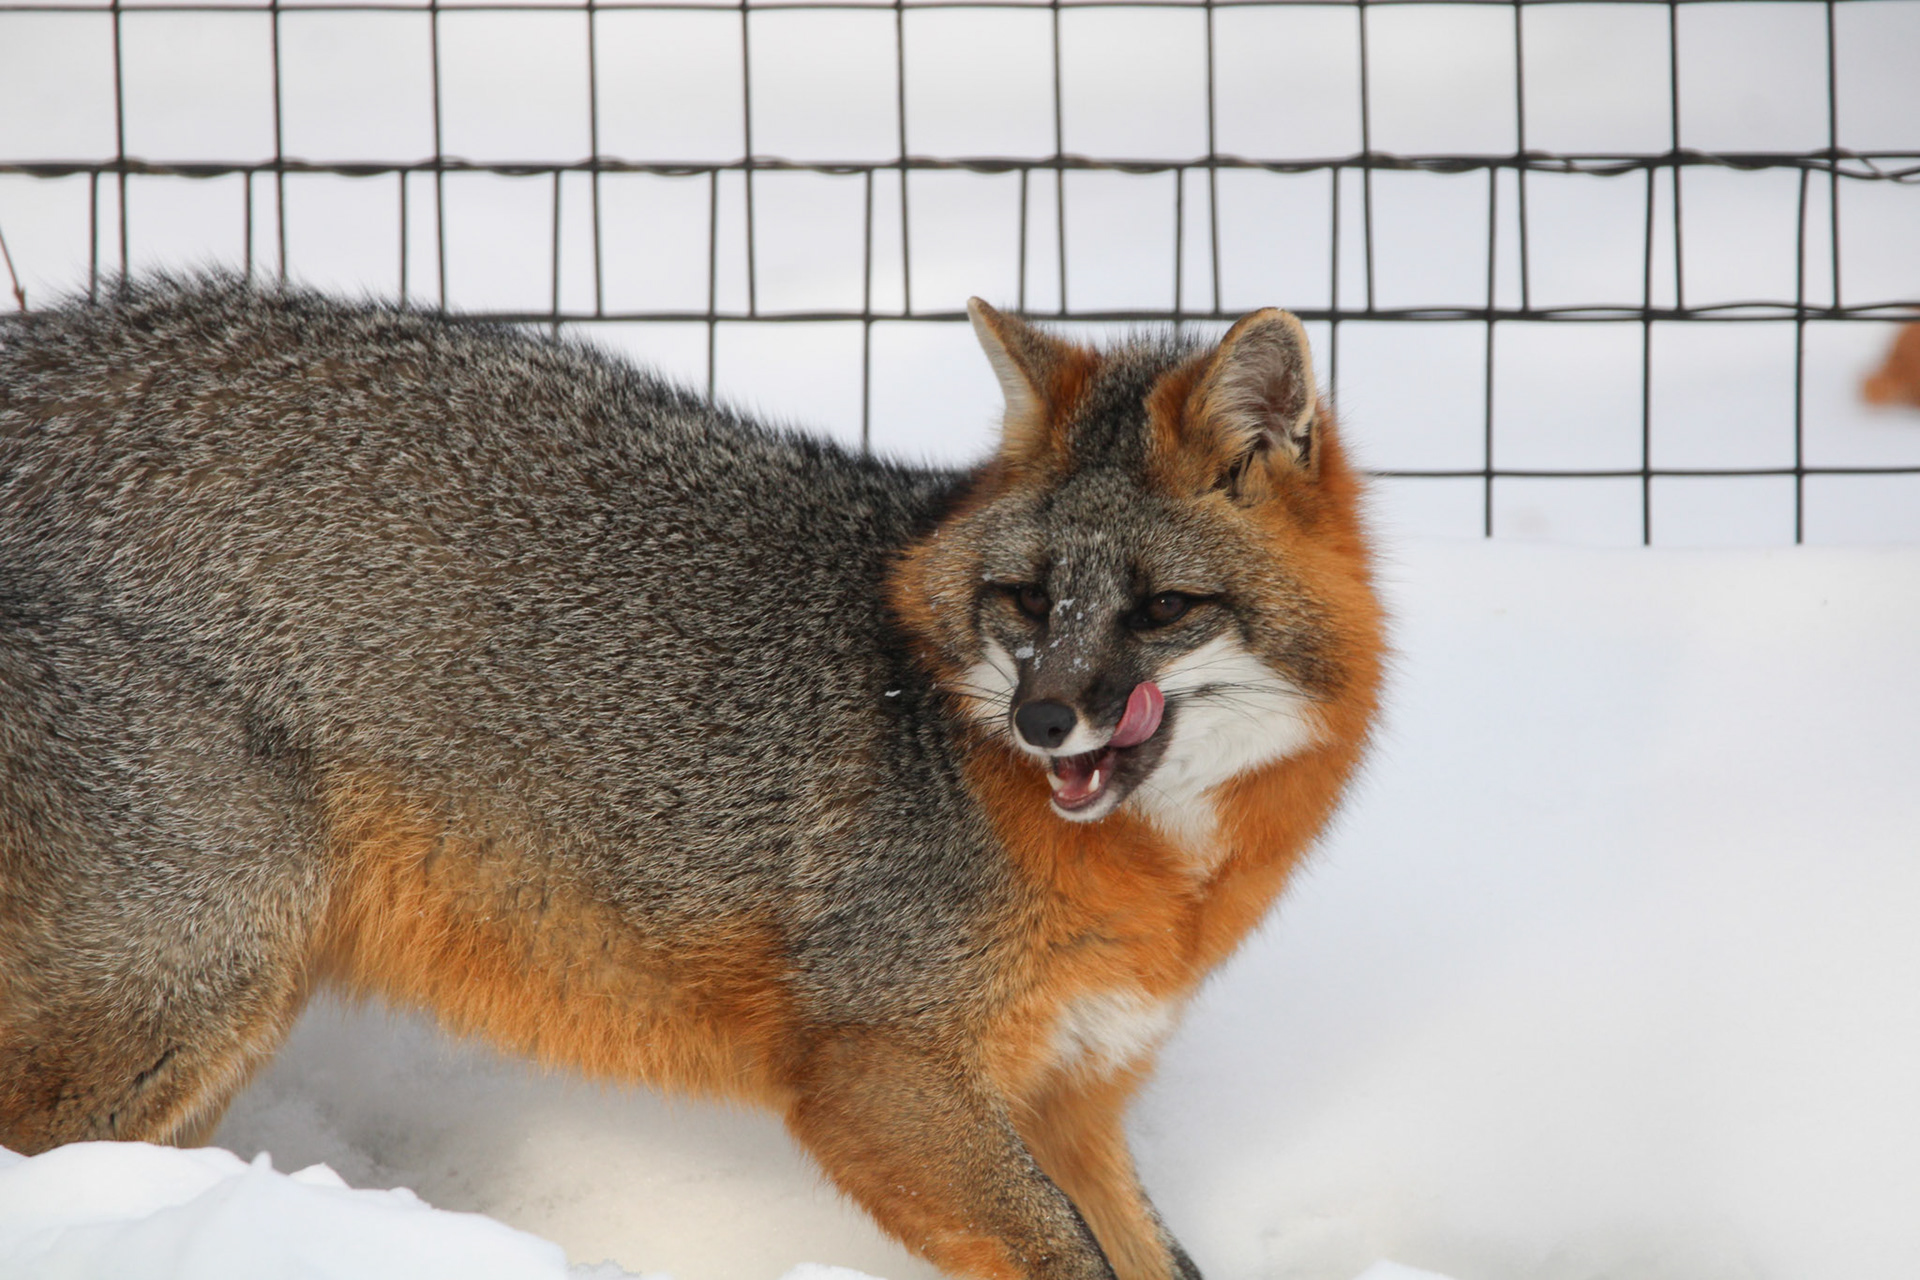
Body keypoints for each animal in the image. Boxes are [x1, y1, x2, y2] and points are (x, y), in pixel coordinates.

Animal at [0, 276, 1384, 1280]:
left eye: (1162, 609)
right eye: (1027, 600)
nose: (1044, 718)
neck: (1167, 881)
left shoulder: (1075, 1093)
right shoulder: (877, 1064)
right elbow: (1066, 1255)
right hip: (200, 974)